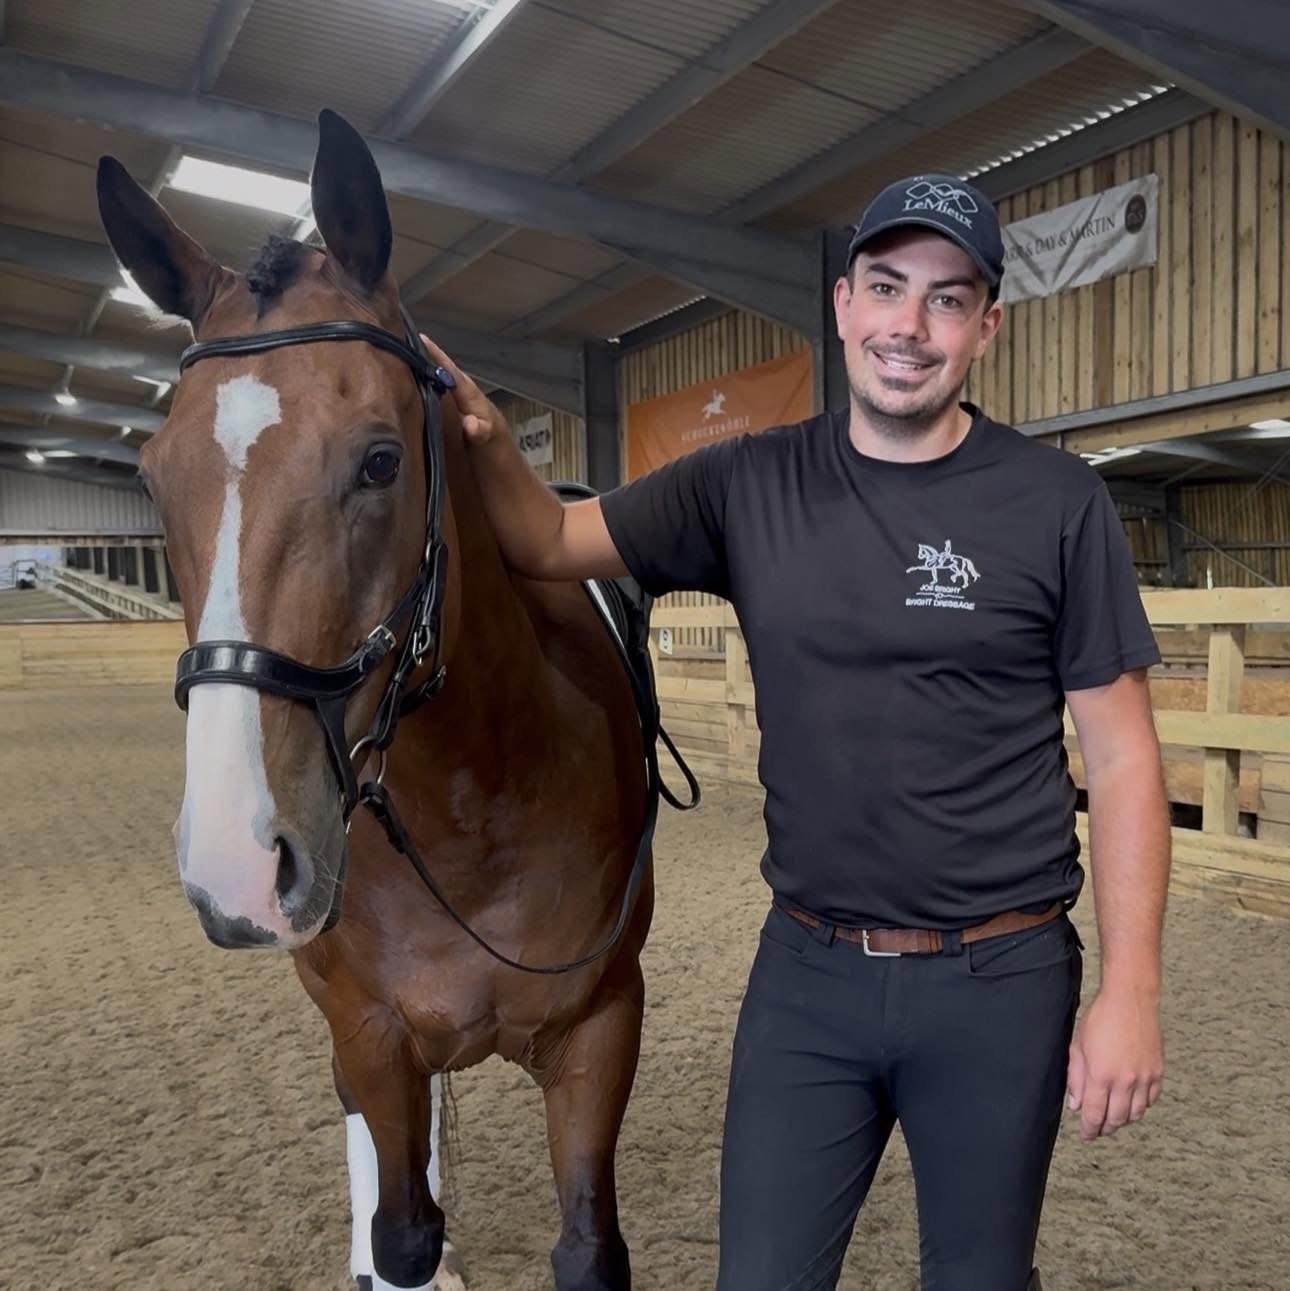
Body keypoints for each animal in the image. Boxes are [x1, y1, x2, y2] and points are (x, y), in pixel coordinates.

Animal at [97, 109, 667, 1291]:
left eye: (379, 462)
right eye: (158, 478)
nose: (236, 859)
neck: (472, 807)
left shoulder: (602, 1030)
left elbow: (588, 1246)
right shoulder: (368, 1031)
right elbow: (403, 1228)